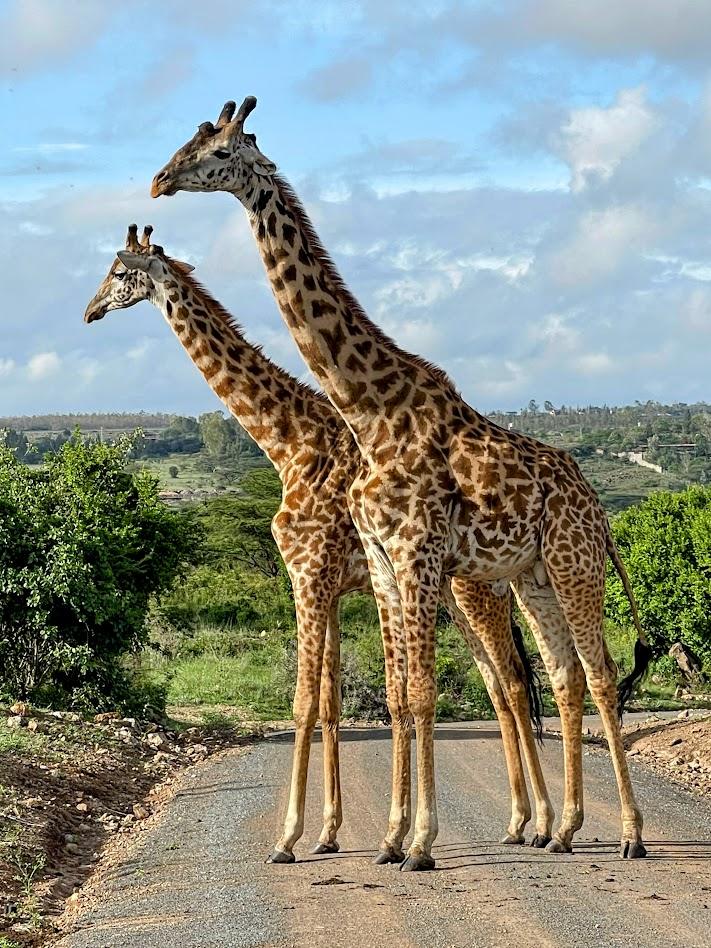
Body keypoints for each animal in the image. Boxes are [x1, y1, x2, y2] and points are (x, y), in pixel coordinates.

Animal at [84, 225, 554, 864]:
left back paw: (542, 823)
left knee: (512, 684)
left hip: (472, 588)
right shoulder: (329, 583)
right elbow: (331, 701)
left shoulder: (309, 572)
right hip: (457, 591)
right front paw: (331, 832)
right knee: (501, 688)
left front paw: (291, 837)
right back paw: (518, 822)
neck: (287, 440)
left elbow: (307, 700)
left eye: (117, 272)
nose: (89, 311)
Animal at [151, 96, 651, 870]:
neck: (365, 409)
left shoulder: (396, 556)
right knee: (555, 678)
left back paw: (624, 833)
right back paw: (561, 828)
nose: (159, 180)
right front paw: (384, 836)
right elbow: (393, 696)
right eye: (190, 143)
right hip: (529, 574)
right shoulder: (382, 563)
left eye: (219, 153)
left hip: (568, 565)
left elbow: (408, 695)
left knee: (590, 677)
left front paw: (406, 841)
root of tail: (595, 505)